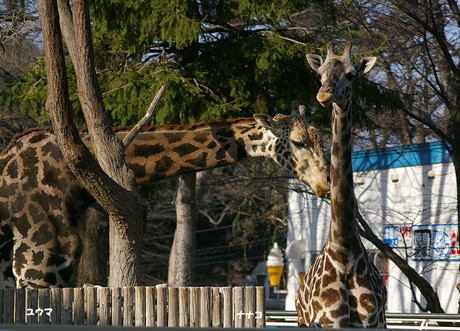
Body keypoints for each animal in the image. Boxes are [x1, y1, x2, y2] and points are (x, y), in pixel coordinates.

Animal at [292, 42, 386, 330]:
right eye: (319, 73)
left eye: (351, 74)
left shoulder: (373, 322)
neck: (344, 248)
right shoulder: (329, 323)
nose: (323, 95)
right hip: (302, 321)